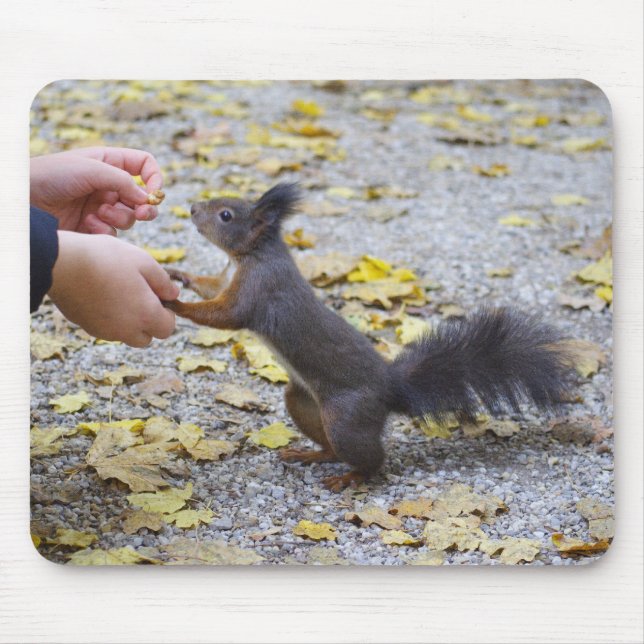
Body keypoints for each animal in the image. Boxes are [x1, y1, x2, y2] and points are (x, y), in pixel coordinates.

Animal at [164, 183, 574, 491]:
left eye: (226, 215)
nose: (192, 208)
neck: (251, 254)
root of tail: (392, 389)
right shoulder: (226, 279)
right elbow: (208, 285)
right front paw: (177, 275)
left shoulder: (258, 289)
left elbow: (225, 315)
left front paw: (174, 302)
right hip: (304, 402)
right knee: (329, 443)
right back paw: (311, 454)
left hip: (346, 418)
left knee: (373, 459)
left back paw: (351, 477)